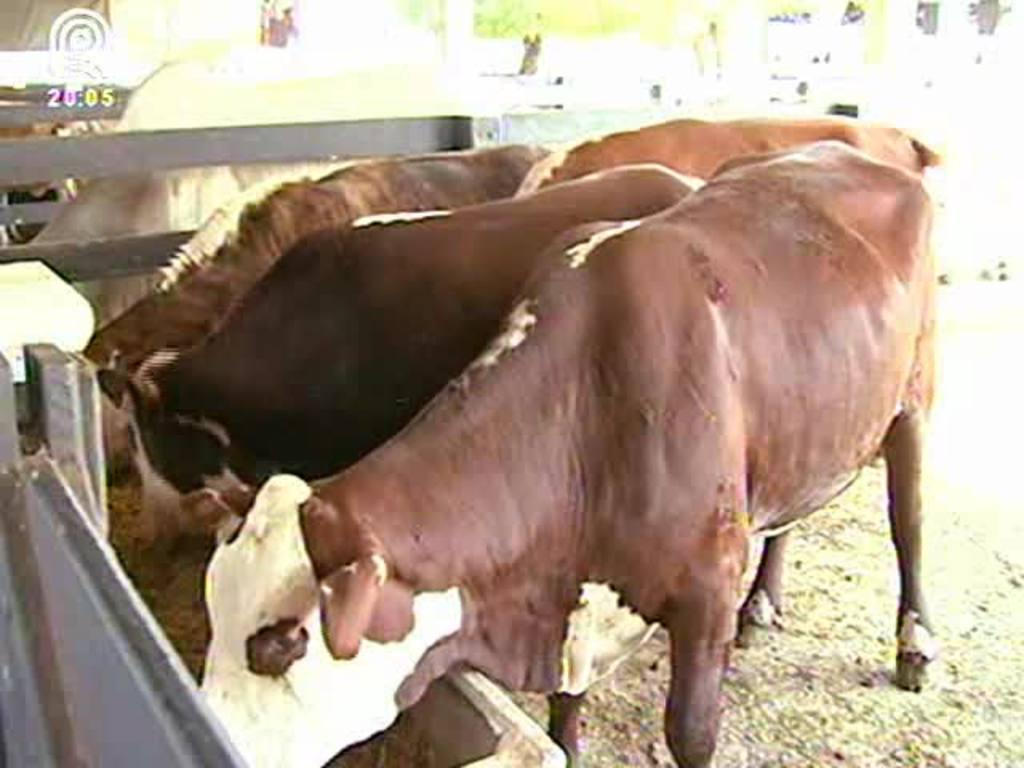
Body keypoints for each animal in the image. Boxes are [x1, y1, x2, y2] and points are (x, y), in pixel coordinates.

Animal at [199, 144, 937, 768]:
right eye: (212, 609)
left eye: (278, 646)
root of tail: (849, 150)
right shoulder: (570, 599)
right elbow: (564, 708)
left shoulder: (706, 591)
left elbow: (691, 735)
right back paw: (762, 605)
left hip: (912, 401)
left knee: (908, 523)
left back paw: (914, 644)